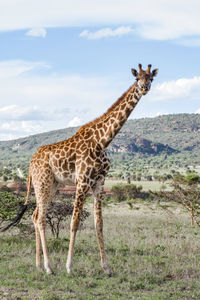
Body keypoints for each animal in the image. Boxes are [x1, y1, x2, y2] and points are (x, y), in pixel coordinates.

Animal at [2, 63, 158, 274]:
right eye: (136, 78)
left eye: (151, 78)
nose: (144, 88)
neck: (103, 141)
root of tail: (31, 162)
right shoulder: (82, 181)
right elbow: (74, 222)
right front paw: (69, 266)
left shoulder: (99, 182)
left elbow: (99, 224)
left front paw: (106, 267)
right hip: (42, 182)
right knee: (41, 218)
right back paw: (49, 267)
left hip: (52, 185)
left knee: (34, 216)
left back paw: (38, 265)